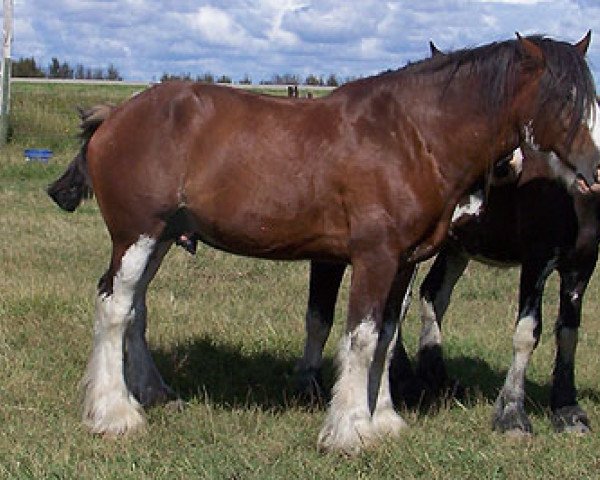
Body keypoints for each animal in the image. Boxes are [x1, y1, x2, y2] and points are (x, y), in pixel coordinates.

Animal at [49, 33, 596, 454]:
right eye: (565, 98)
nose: (593, 174)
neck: (411, 136)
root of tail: (115, 115)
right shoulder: (373, 258)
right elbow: (361, 338)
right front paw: (349, 431)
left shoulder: (403, 262)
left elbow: (386, 338)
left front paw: (383, 422)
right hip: (137, 234)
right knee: (114, 307)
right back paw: (114, 414)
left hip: (158, 238)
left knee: (135, 309)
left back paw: (152, 393)